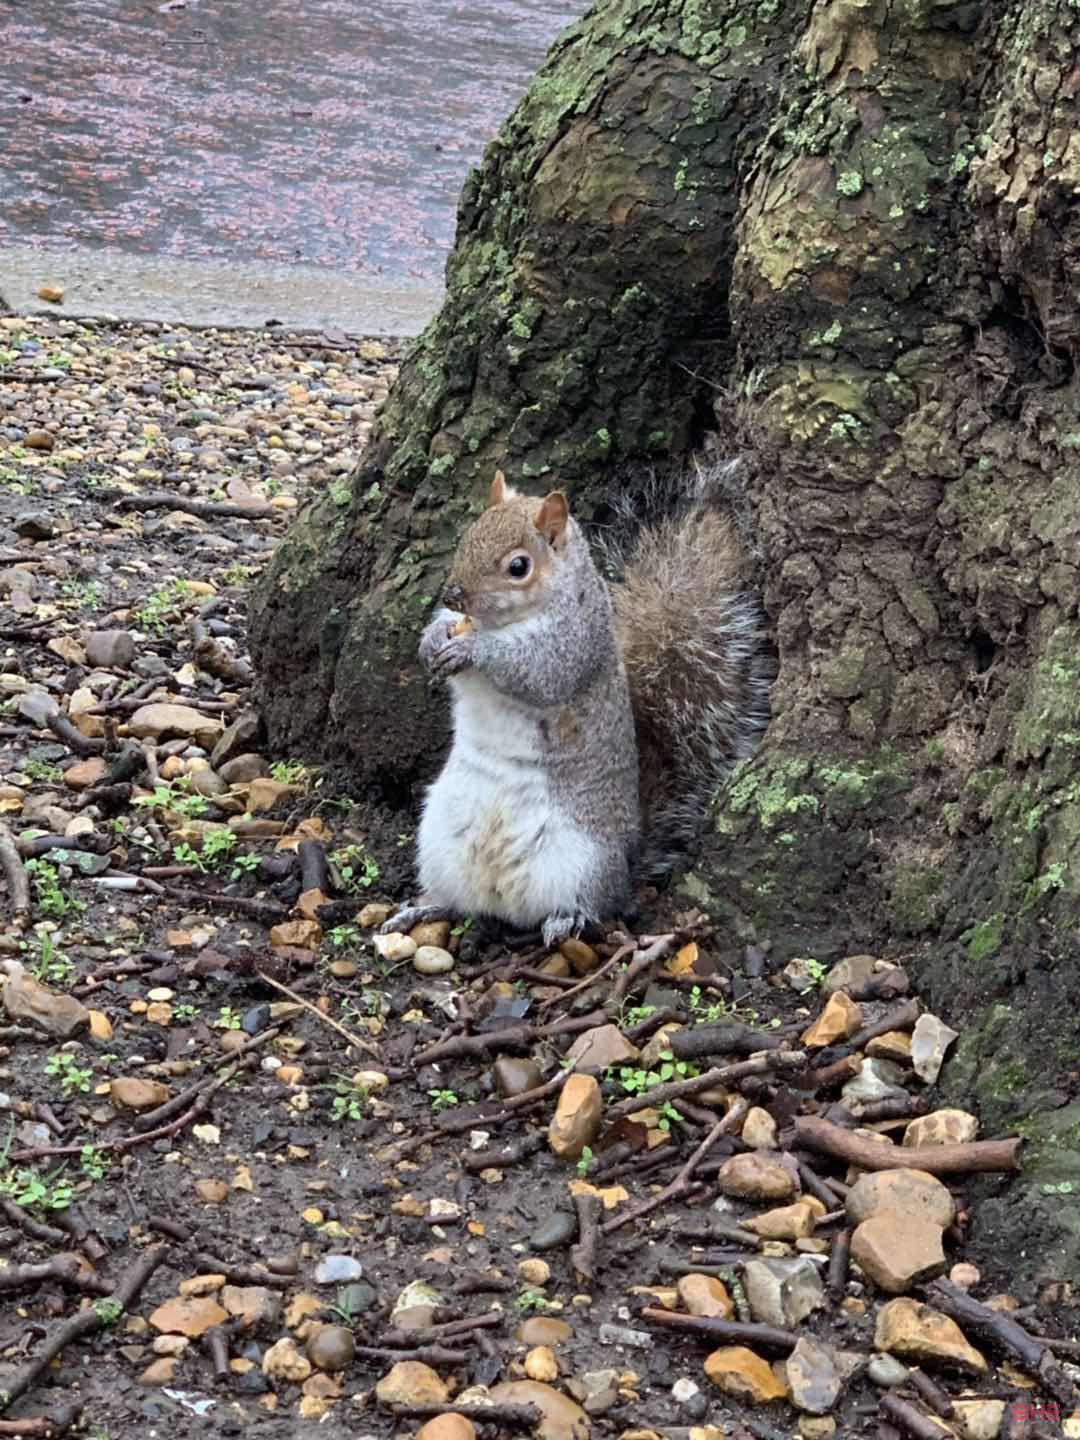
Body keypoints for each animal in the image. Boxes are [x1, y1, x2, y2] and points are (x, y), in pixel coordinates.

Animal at [385, 460, 771, 950]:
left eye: (518, 566)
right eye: (468, 535)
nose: (454, 594)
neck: (503, 622)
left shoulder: (574, 642)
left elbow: (540, 670)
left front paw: (475, 651)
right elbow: (449, 629)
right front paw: (435, 638)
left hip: (581, 859)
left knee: (591, 903)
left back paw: (566, 919)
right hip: (439, 841)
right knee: (460, 902)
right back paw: (423, 908)